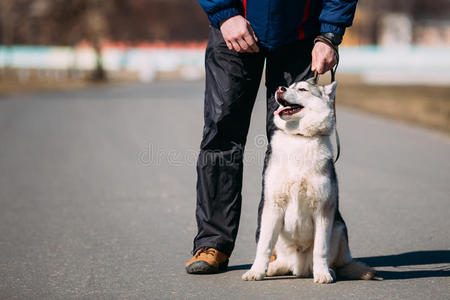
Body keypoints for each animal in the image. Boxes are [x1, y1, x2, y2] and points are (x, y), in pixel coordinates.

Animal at [241, 81, 374, 282]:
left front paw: (323, 275)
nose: (280, 88)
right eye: (289, 86)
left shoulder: (323, 212)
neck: (299, 138)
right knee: (283, 261)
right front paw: (256, 272)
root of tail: (300, 266)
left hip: (338, 228)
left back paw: (328, 270)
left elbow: (321, 249)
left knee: (331, 263)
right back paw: (272, 268)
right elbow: (264, 246)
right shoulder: (273, 208)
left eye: (302, 89)